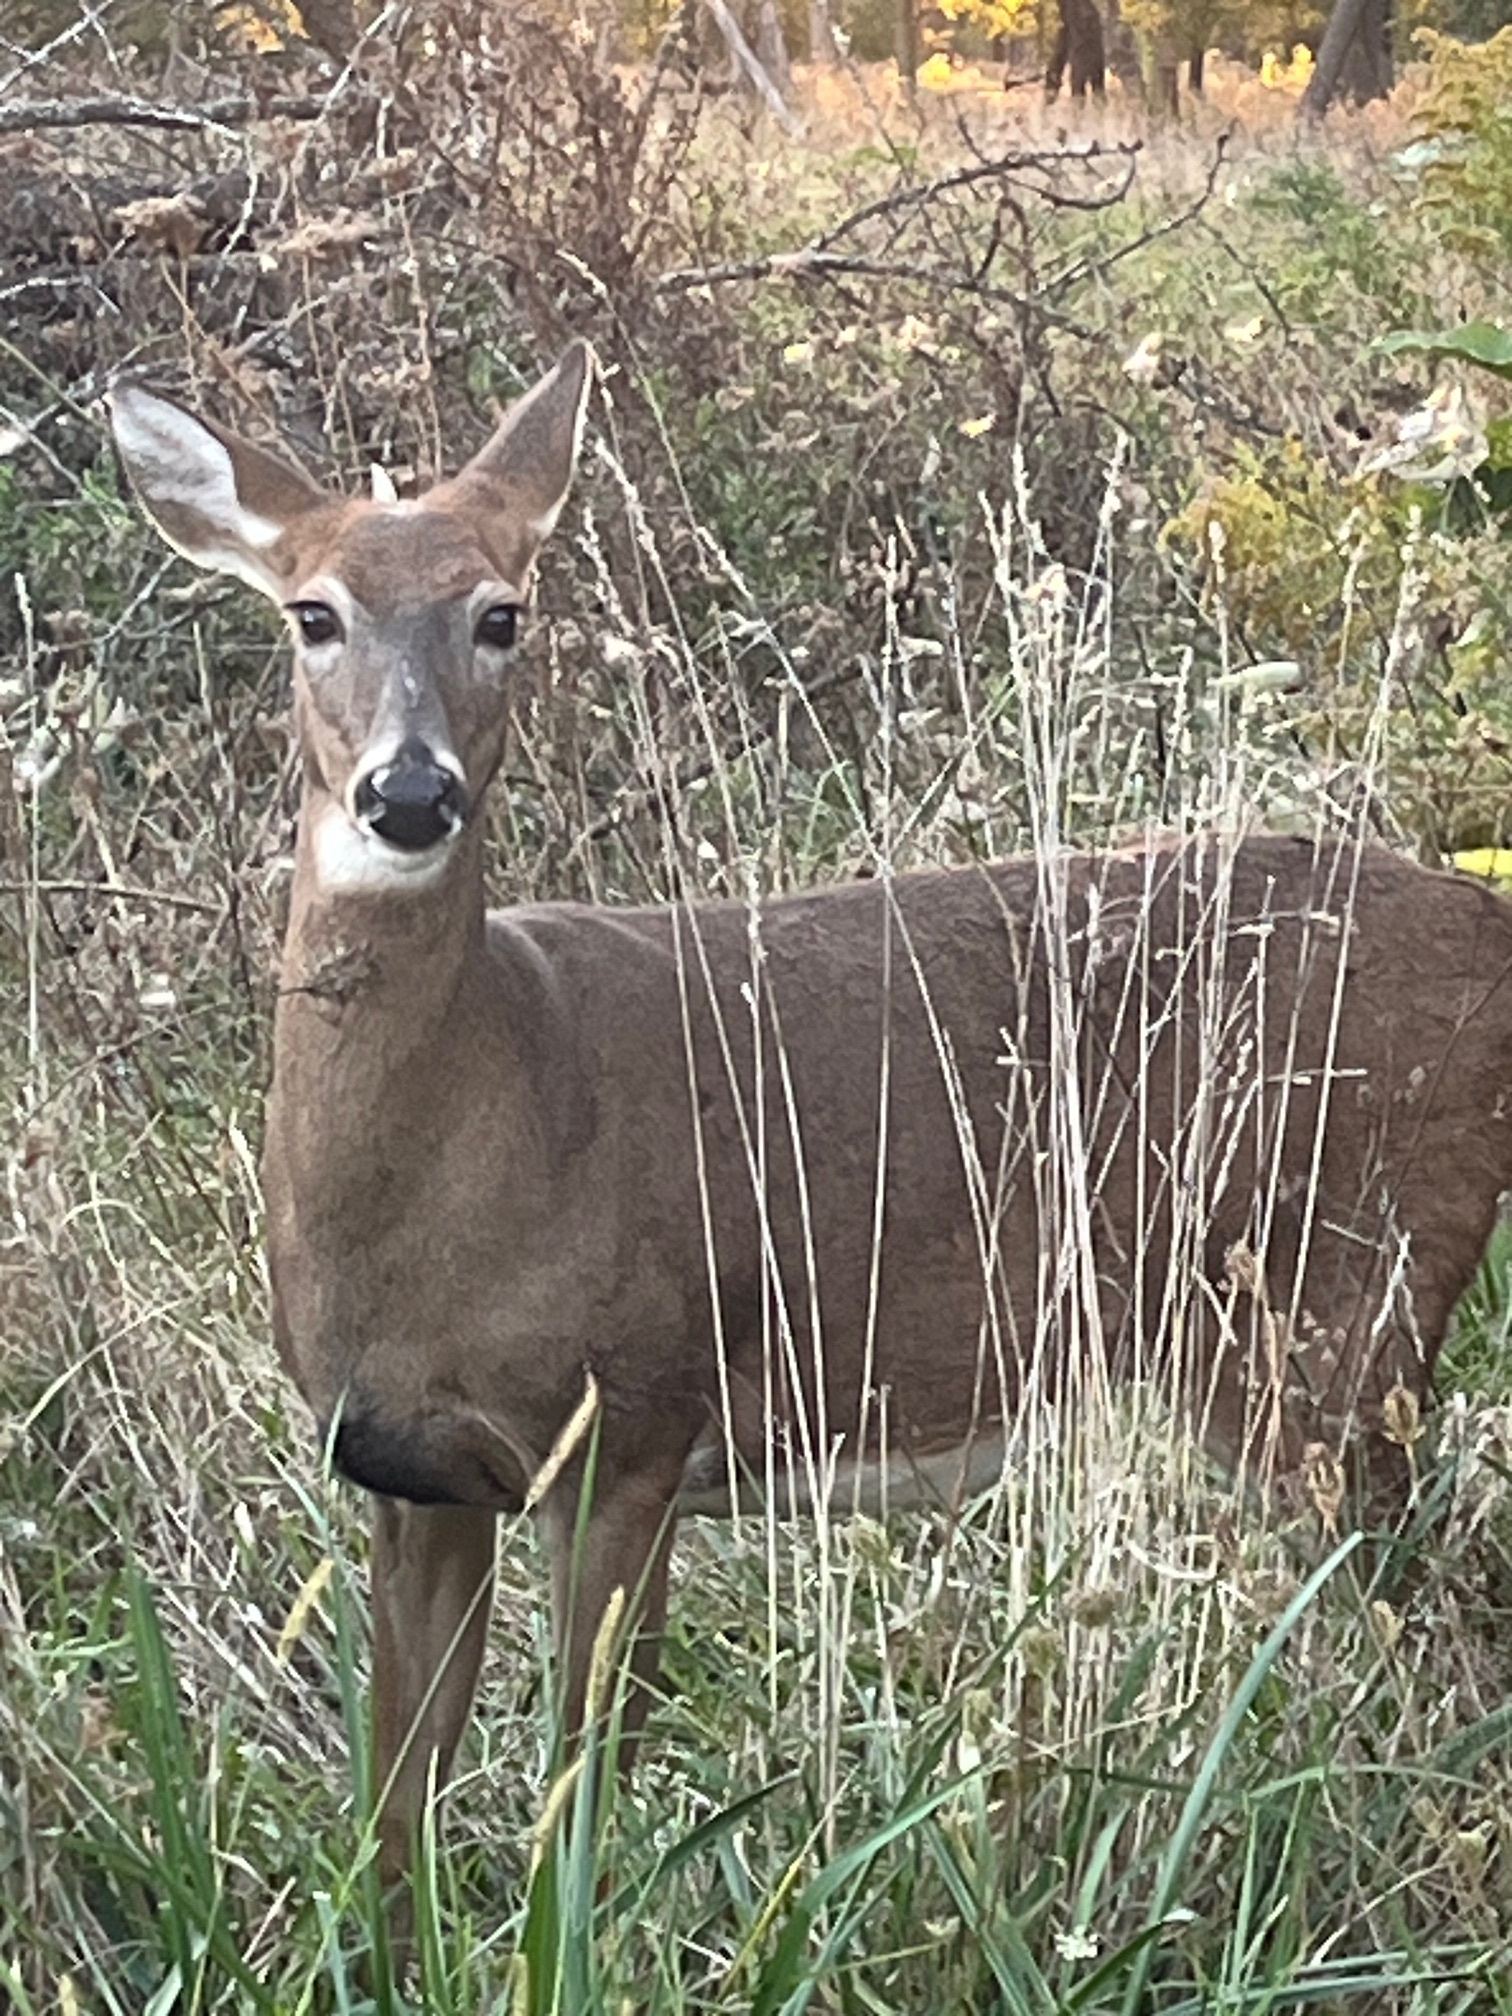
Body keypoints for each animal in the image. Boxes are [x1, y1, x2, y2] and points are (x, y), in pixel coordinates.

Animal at [112, 346, 1512, 1903]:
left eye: (501, 613)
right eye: (313, 613)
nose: (409, 791)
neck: (489, 1128)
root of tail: (1492, 930)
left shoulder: (633, 1424)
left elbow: (575, 1812)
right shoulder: (408, 1474)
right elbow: (392, 1817)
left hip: (1334, 1301)